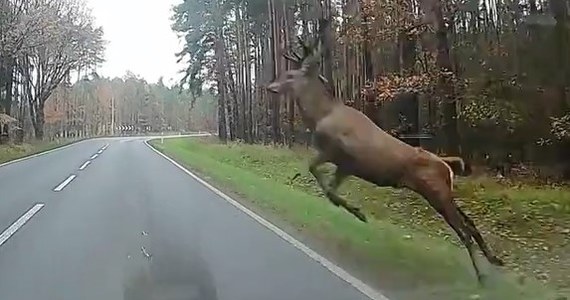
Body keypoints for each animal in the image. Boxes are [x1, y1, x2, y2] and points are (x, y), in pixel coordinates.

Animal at [266, 19, 502, 284]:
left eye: (290, 75)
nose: (270, 86)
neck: (319, 116)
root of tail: (445, 165)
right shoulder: (343, 164)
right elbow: (327, 188)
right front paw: (357, 212)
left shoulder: (342, 156)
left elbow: (318, 175)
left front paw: (358, 213)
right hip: (444, 192)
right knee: (470, 223)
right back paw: (494, 260)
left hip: (436, 192)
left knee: (464, 231)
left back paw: (482, 275)